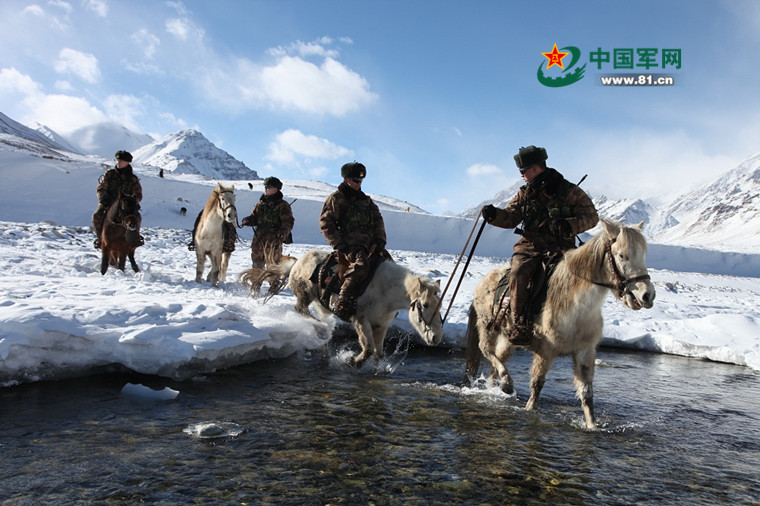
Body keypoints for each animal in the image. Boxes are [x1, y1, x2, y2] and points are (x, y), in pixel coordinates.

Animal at [268, 250, 446, 366]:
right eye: (425, 305)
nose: (436, 338)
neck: (386, 290)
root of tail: (297, 262)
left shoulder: (381, 324)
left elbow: (378, 352)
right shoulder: (361, 320)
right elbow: (368, 347)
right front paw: (353, 361)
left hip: (318, 301)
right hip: (305, 295)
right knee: (300, 309)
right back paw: (321, 328)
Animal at [460, 219, 656, 428]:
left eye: (643, 255)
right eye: (621, 255)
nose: (647, 295)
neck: (577, 306)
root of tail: (483, 281)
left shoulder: (585, 351)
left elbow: (587, 394)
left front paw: (592, 425)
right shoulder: (545, 350)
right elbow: (537, 387)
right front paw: (529, 410)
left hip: (507, 339)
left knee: (496, 361)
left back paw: (497, 388)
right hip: (488, 327)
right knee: (486, 350)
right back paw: (507, 384)